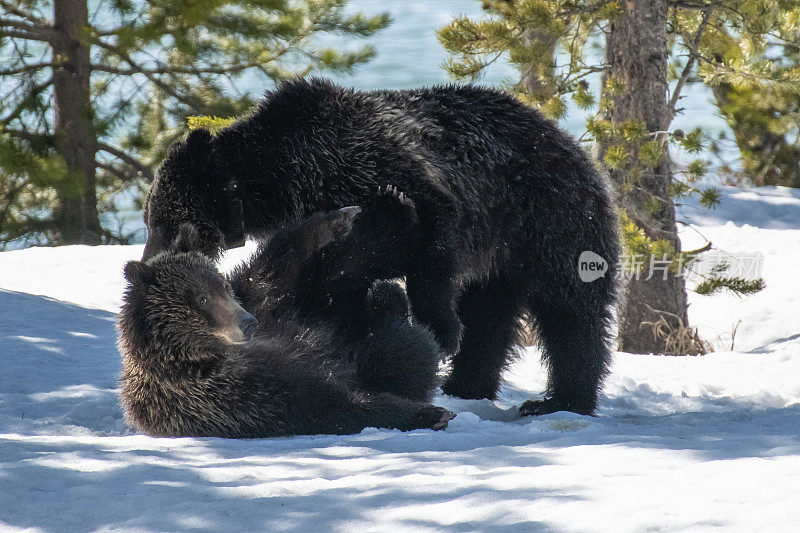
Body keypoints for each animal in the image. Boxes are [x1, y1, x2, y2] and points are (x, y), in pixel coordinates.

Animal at [142, 78, 620, 416]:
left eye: (162, 224)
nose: (147, 260)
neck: (284, 176)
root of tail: (571, 142)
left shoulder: (381, 165)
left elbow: (430, 238)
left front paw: (439, 329)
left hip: (547, 218)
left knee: (570, 310)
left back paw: (561, 399)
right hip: (501, 254)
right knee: (490, 315)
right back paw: (467, 385)